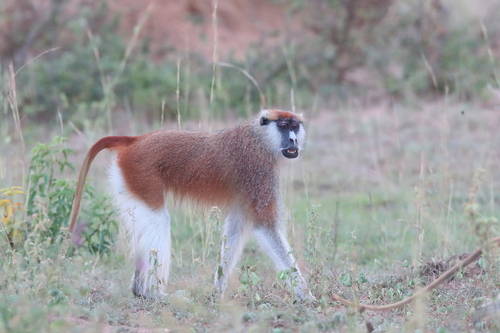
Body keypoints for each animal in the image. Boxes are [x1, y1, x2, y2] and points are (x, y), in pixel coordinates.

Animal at [68, 108, 310, 298]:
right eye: (284, 126)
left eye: (295, 126)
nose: (293, 140)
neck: (259, 138)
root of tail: (135, 140)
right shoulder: (257, 170)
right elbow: (264, 226)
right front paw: (306, 296)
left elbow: (236, 227)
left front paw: (218, 291)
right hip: (140, 174)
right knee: (159, 220)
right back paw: (152, 294)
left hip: (131, 177)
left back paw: (139, 291)